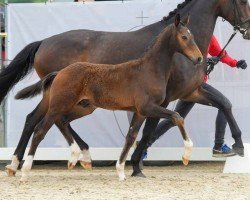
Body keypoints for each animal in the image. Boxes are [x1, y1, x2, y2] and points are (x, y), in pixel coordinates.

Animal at [15, 14, 203, 182]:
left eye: (193, 36)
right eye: (184, 37)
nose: (199, 58)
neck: (149, 70)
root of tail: (59, 73)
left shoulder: (140, 112)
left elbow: (131, 137)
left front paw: (121, 171)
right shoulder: (148, 107)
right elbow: (177, 117)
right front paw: (187, 155)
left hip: (82, 107)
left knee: (61, 122)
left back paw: (75, 157)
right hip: (59, 105)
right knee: (40, 130)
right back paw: (24, 171)